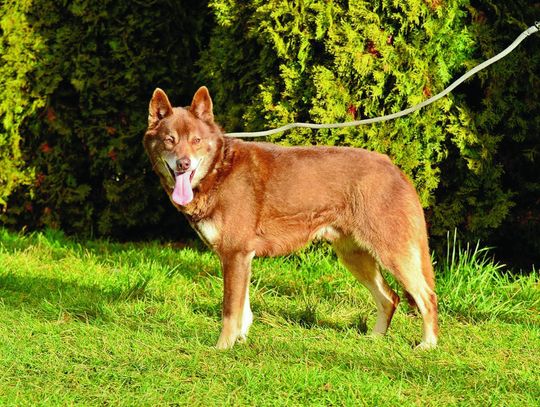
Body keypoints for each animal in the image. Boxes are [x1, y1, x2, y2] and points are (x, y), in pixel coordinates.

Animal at [143, 87, 438, 352]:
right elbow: (243, 310)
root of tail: (394, 168)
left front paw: (222, 348)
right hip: (356, 257)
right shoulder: (240, 258)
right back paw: (374, 340)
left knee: (426, 297)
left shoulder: (235, 254)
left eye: (195, 140)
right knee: (390, 298)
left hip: (393, 253)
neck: (219, 169)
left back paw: (428, 344)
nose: (183, 164)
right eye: (169, 140)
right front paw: (241, 340)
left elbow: (229, 311)